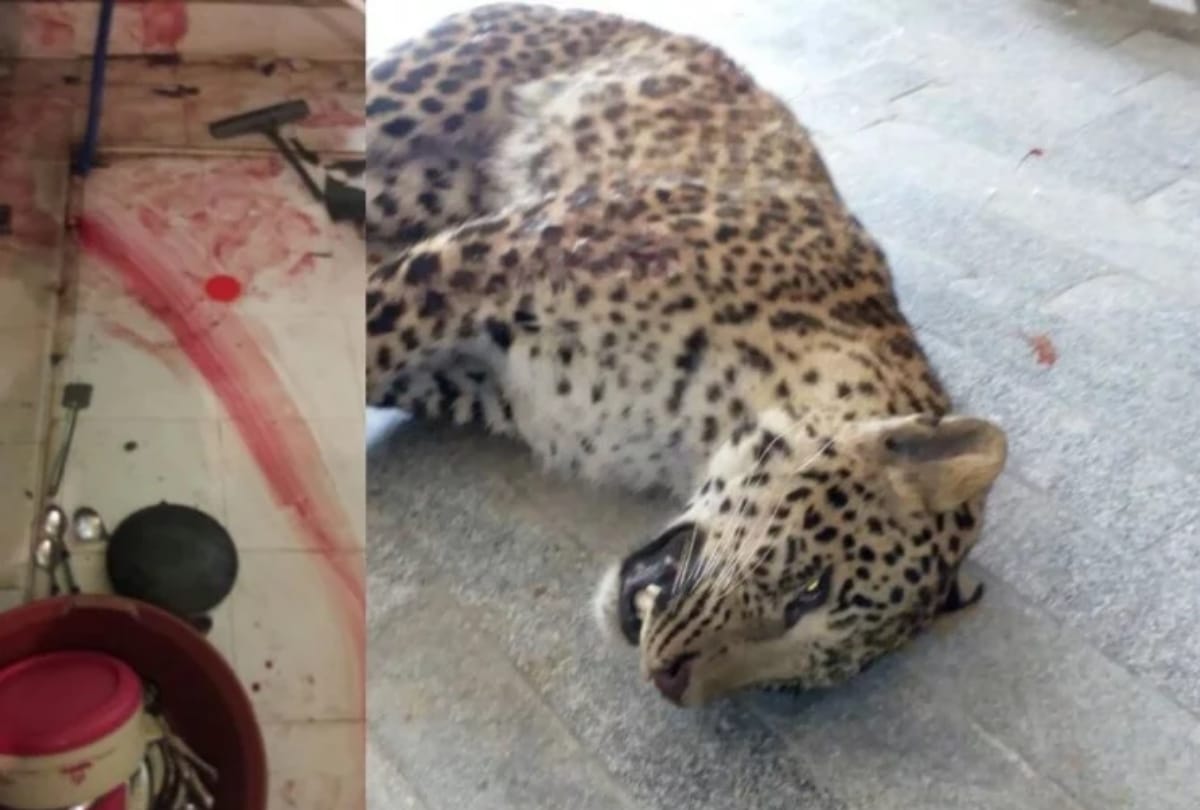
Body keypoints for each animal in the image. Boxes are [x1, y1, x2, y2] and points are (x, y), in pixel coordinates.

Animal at [365, 3, 1008, 708]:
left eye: (794, 683)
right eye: (811, 589)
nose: (671, 684)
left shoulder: (477, 379)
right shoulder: (500, 255)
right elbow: (375, 324)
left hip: (423, 188)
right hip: (420, 95)